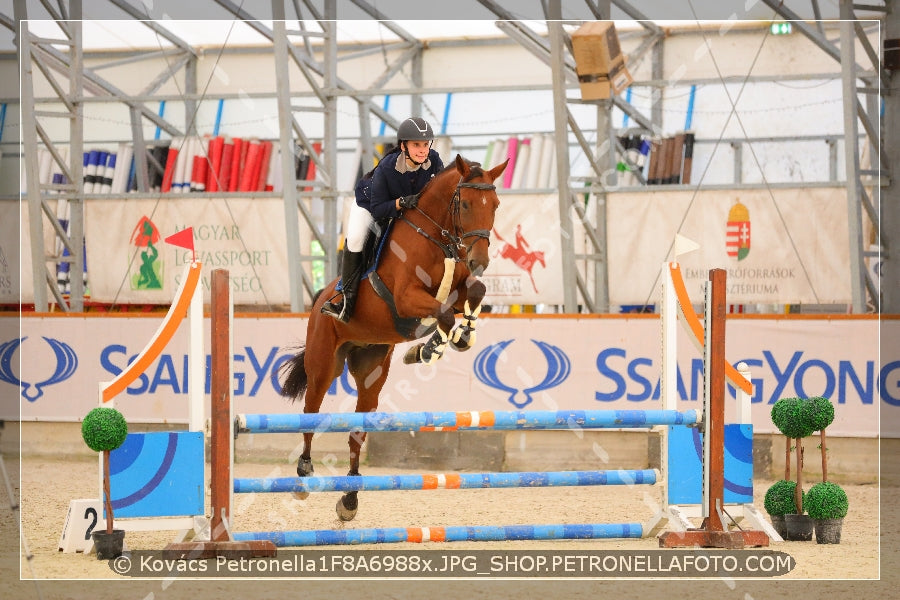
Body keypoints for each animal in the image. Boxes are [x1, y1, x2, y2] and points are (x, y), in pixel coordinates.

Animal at [280, 155, 506, 520]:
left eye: (495, 205)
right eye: (465, 204)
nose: (479, 260)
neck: (436, 235)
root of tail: (320, 301)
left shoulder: (457, 291)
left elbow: (474, 293)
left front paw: (453, 340)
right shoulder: (406, 299)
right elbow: (443, 315)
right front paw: (431, 349)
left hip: (371, 369)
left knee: (357, 433)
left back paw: (350, 500)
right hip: (324, 364)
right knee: (310, 411)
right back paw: (303, 474)